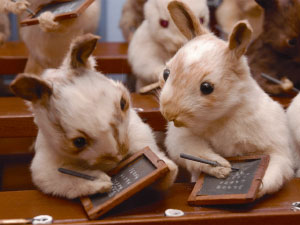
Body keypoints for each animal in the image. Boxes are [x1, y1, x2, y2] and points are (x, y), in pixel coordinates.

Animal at [9, 33, 178, 199]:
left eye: (123, 103)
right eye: (78, 142)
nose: (120, 155)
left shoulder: (136, 128)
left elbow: (145, 144)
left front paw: (165, 168)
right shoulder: (45, 167)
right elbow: (65, 178)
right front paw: (100, 181)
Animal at [159, 0, 296, 197]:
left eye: (207, 87)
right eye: (166, 73)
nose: (169, 113)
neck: (222, 116)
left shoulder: (276, 147)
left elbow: (275, 167)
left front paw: (257, 186)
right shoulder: (183, 138)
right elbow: (196, 153)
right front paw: (221, 167)